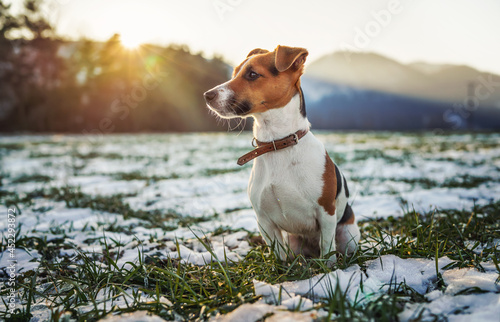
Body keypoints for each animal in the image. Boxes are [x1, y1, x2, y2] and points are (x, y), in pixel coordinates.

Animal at [203, 46, 360, 266]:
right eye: (234, 73)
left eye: (252, 74)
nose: (207, 95)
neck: (277, 143)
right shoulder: (264, 221)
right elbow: (278, 256)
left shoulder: (326, 213)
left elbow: (328, 250)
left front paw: (330, 270)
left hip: (348, 234)